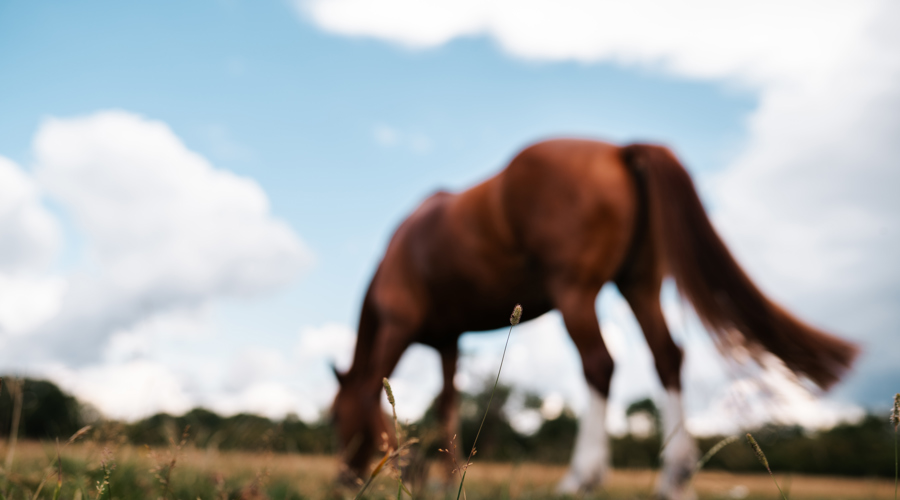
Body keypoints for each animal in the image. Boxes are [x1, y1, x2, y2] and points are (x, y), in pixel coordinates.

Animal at [330, 139, 858, 499]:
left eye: (336, 417)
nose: (344, 479)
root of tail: (619, 150)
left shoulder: (399, 328)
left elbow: (380, 389)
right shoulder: (449, 341)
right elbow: (448, 405)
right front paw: (447, 478)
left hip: (576, 295)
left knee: (600, 365)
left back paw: (581, 477)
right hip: (640, 286)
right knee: (667, 357)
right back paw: (675, 479)